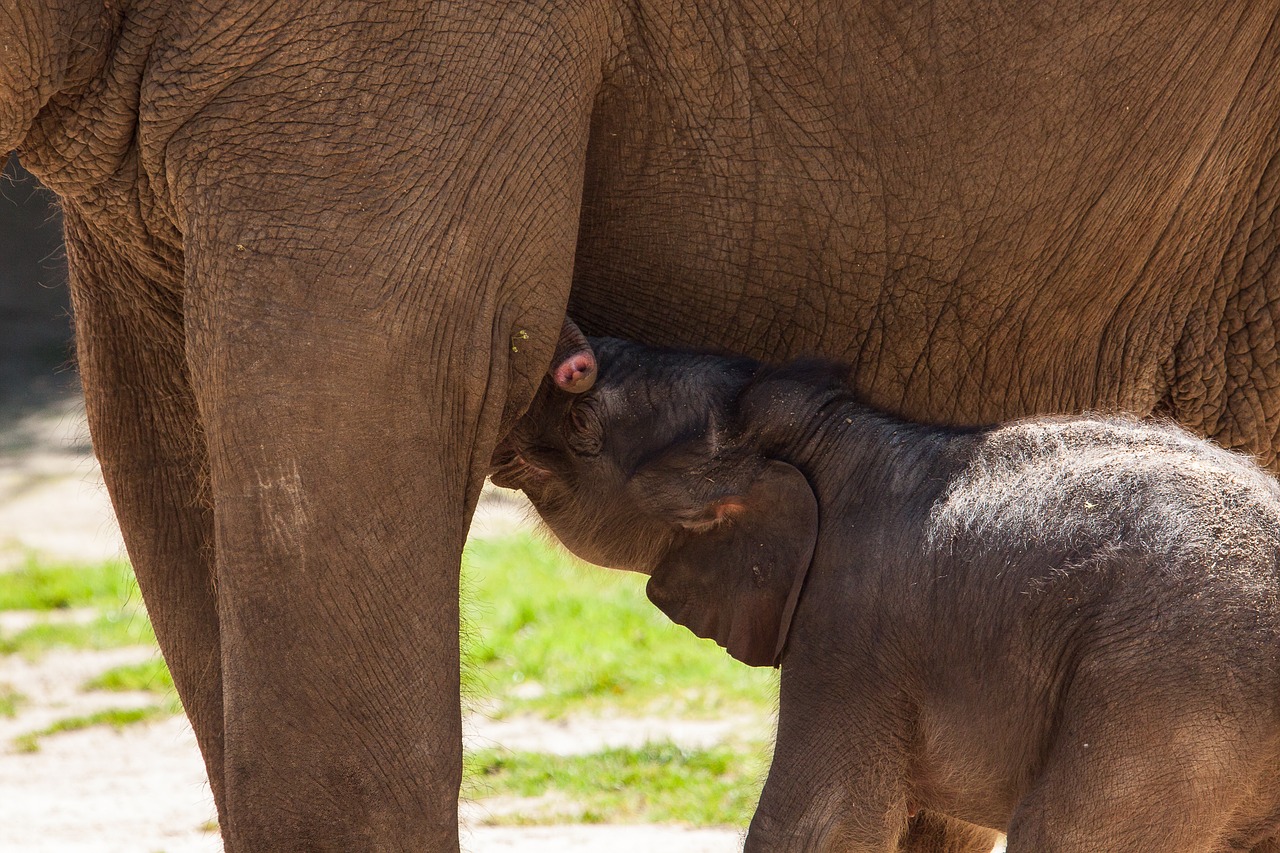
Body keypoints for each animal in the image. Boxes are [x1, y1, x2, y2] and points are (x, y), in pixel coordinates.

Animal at [491, 322, 1280, 845]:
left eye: (585, 425)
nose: (571, 358)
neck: (824, 437)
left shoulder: (851, 633)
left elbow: (821, 823)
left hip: (1167, 691)